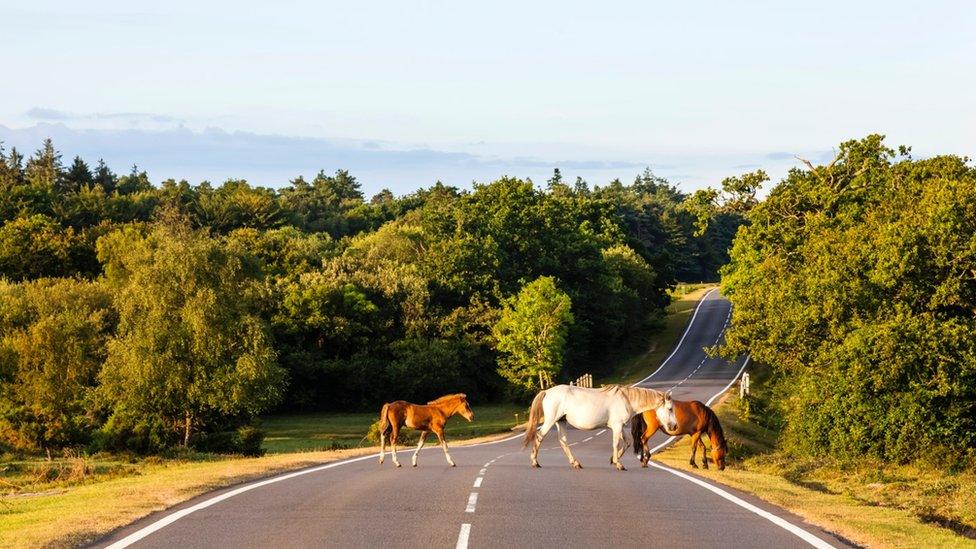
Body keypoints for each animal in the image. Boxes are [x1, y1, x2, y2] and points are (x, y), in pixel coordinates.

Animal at [524, 384, 676, 468]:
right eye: (670, 409)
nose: (674, 426)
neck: (626, 399)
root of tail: (547, 392)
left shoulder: (620, 427)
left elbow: (627, 442)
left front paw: (613, 460)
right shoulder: (617, 426)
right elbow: (616, 444)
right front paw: (618, 464)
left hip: (561, 422)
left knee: (563, 442)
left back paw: (575, 463)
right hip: (551, 420)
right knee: (539, 436)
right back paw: (535, 462)